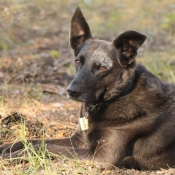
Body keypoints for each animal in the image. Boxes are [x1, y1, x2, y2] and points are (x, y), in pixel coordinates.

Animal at [1, 7, 175, 171]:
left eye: (102, 68)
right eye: (78, 61)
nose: (71, 91)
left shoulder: (101, 156)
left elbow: (44, 146)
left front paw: (15, 155)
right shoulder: (78, 139)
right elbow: (34, 140)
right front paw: (7, 147)